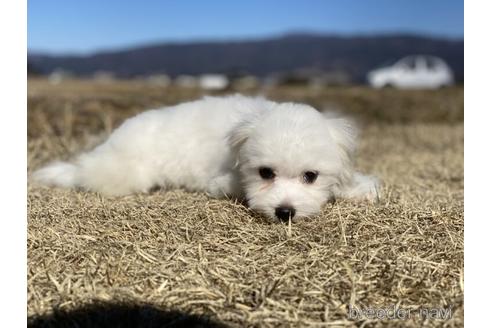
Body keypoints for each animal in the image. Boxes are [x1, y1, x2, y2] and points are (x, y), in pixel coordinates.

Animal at [33, 96, 380, 222]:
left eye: (311, 176)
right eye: (266, 173)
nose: (285, 212)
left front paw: (362, 188)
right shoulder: (222, 180)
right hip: (124, 171)